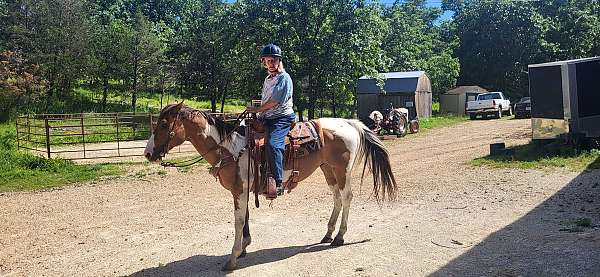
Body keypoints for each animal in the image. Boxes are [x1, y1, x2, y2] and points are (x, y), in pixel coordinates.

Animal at [144, 102, 398, 270]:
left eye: (164, 124)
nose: (147, 153)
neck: (231, 147)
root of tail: (349, 123)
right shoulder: (242, 190)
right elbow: (245, 217)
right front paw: (245, 247)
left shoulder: (239, 190)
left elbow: (237, 221)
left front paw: (233, 257)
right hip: (328, 169)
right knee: (336, 197)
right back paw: (328, 233)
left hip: (341, 170)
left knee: (346, 197)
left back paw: (339, 237)